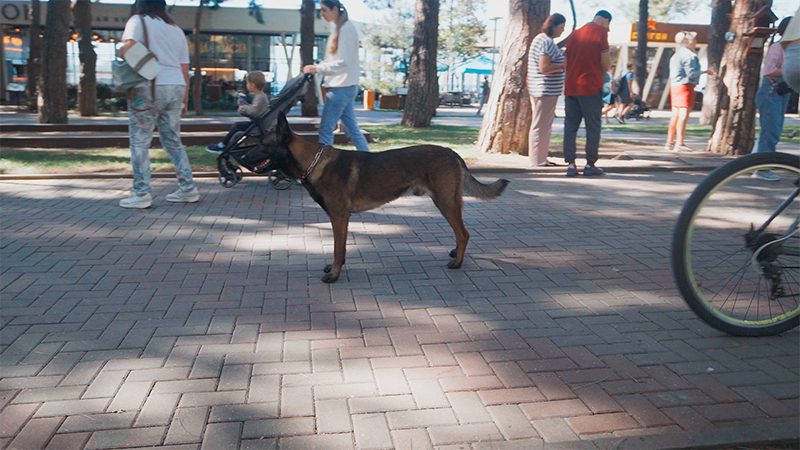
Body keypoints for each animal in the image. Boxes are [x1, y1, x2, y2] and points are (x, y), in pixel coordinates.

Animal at [260, 112, 509, 283]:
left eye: (262, 144)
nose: (247, 157)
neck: (314, 162)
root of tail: (453, 153)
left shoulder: (339, 218)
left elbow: (338, 250)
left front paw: (334, 274)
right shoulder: (340, 220)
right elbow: (339, 250)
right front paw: (333, 268)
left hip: (445, 203)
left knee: (463, 234)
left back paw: (457, 262)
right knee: (459, 234)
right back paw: (456, 253)